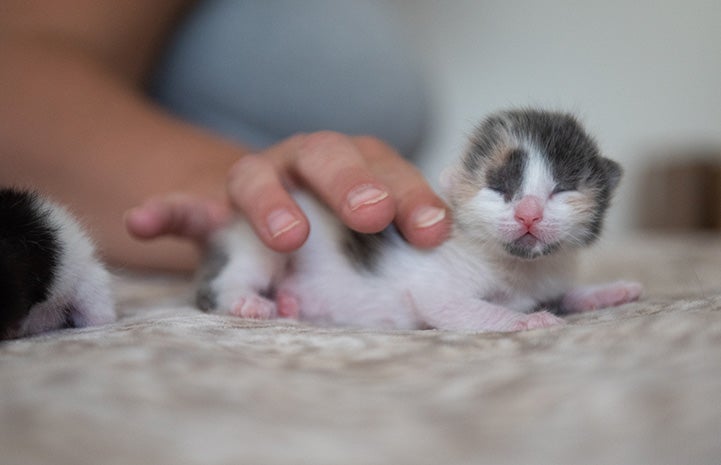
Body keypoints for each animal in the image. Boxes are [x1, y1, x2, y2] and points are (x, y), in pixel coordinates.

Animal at [195, 109, 640, 332]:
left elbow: (569, 294)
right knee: (228, 281)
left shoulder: (550, 277)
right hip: (264, 237)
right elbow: (454, 307)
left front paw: (609, 291)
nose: (528, 212)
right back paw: (249, 301)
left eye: (562, 189)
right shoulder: (436, 287)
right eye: (498, 188)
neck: (519, 268)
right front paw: (529, 321)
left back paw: (289, 302)